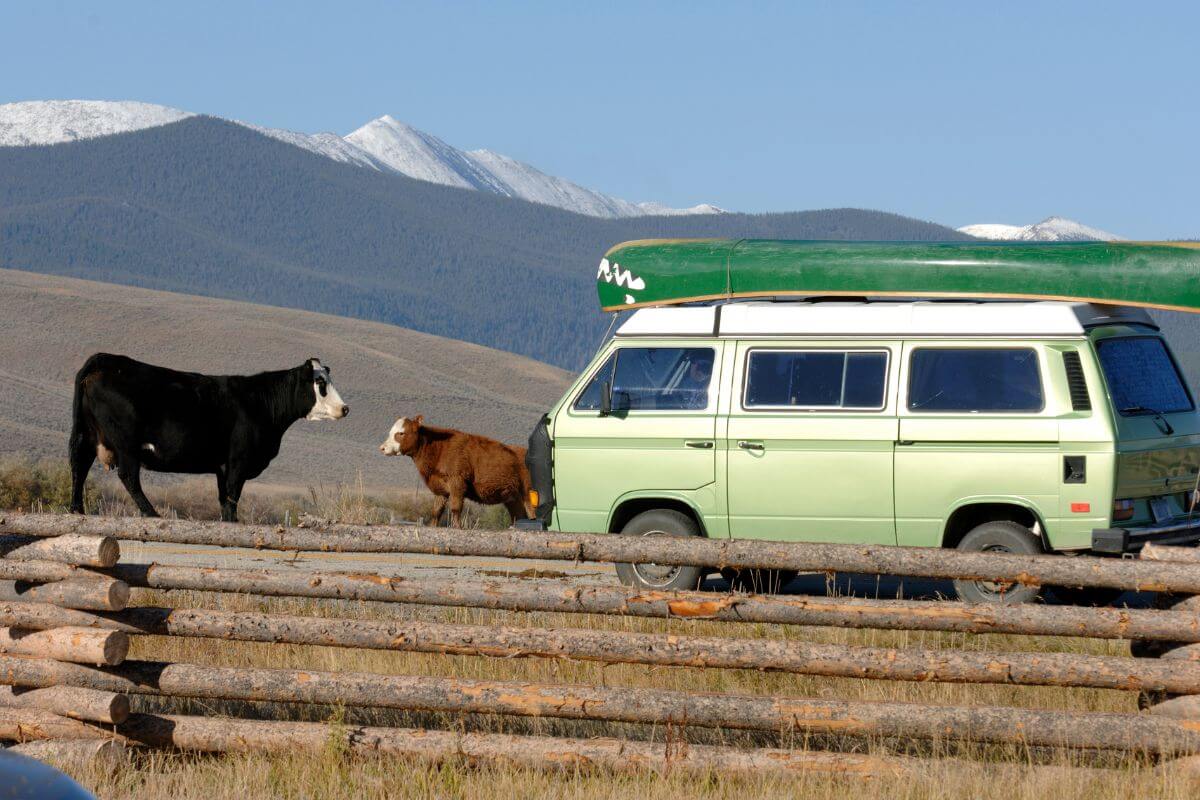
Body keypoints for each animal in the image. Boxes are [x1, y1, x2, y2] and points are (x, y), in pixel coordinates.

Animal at [69, 354, 349, 522]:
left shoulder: (221, 466)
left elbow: (224, 500)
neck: (259, 403)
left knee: (79, 468)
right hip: (127, 445)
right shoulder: (238, 461)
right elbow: (232, 497)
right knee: (128, 477)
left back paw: (76, 509)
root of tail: (105, 360)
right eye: (320, 383)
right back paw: (151, 513)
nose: (344, 408)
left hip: (86, 436)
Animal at [379, 415, 533, 528]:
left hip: (528, 494)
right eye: (390, 432)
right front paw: (433, 527)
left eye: (401, 433)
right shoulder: (441, 489)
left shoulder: (457, 482)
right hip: (513, 498)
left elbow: (455, 508)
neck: (438, 450)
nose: (382, 448)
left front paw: (457, 527)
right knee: (520, 516)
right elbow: (436, 511)